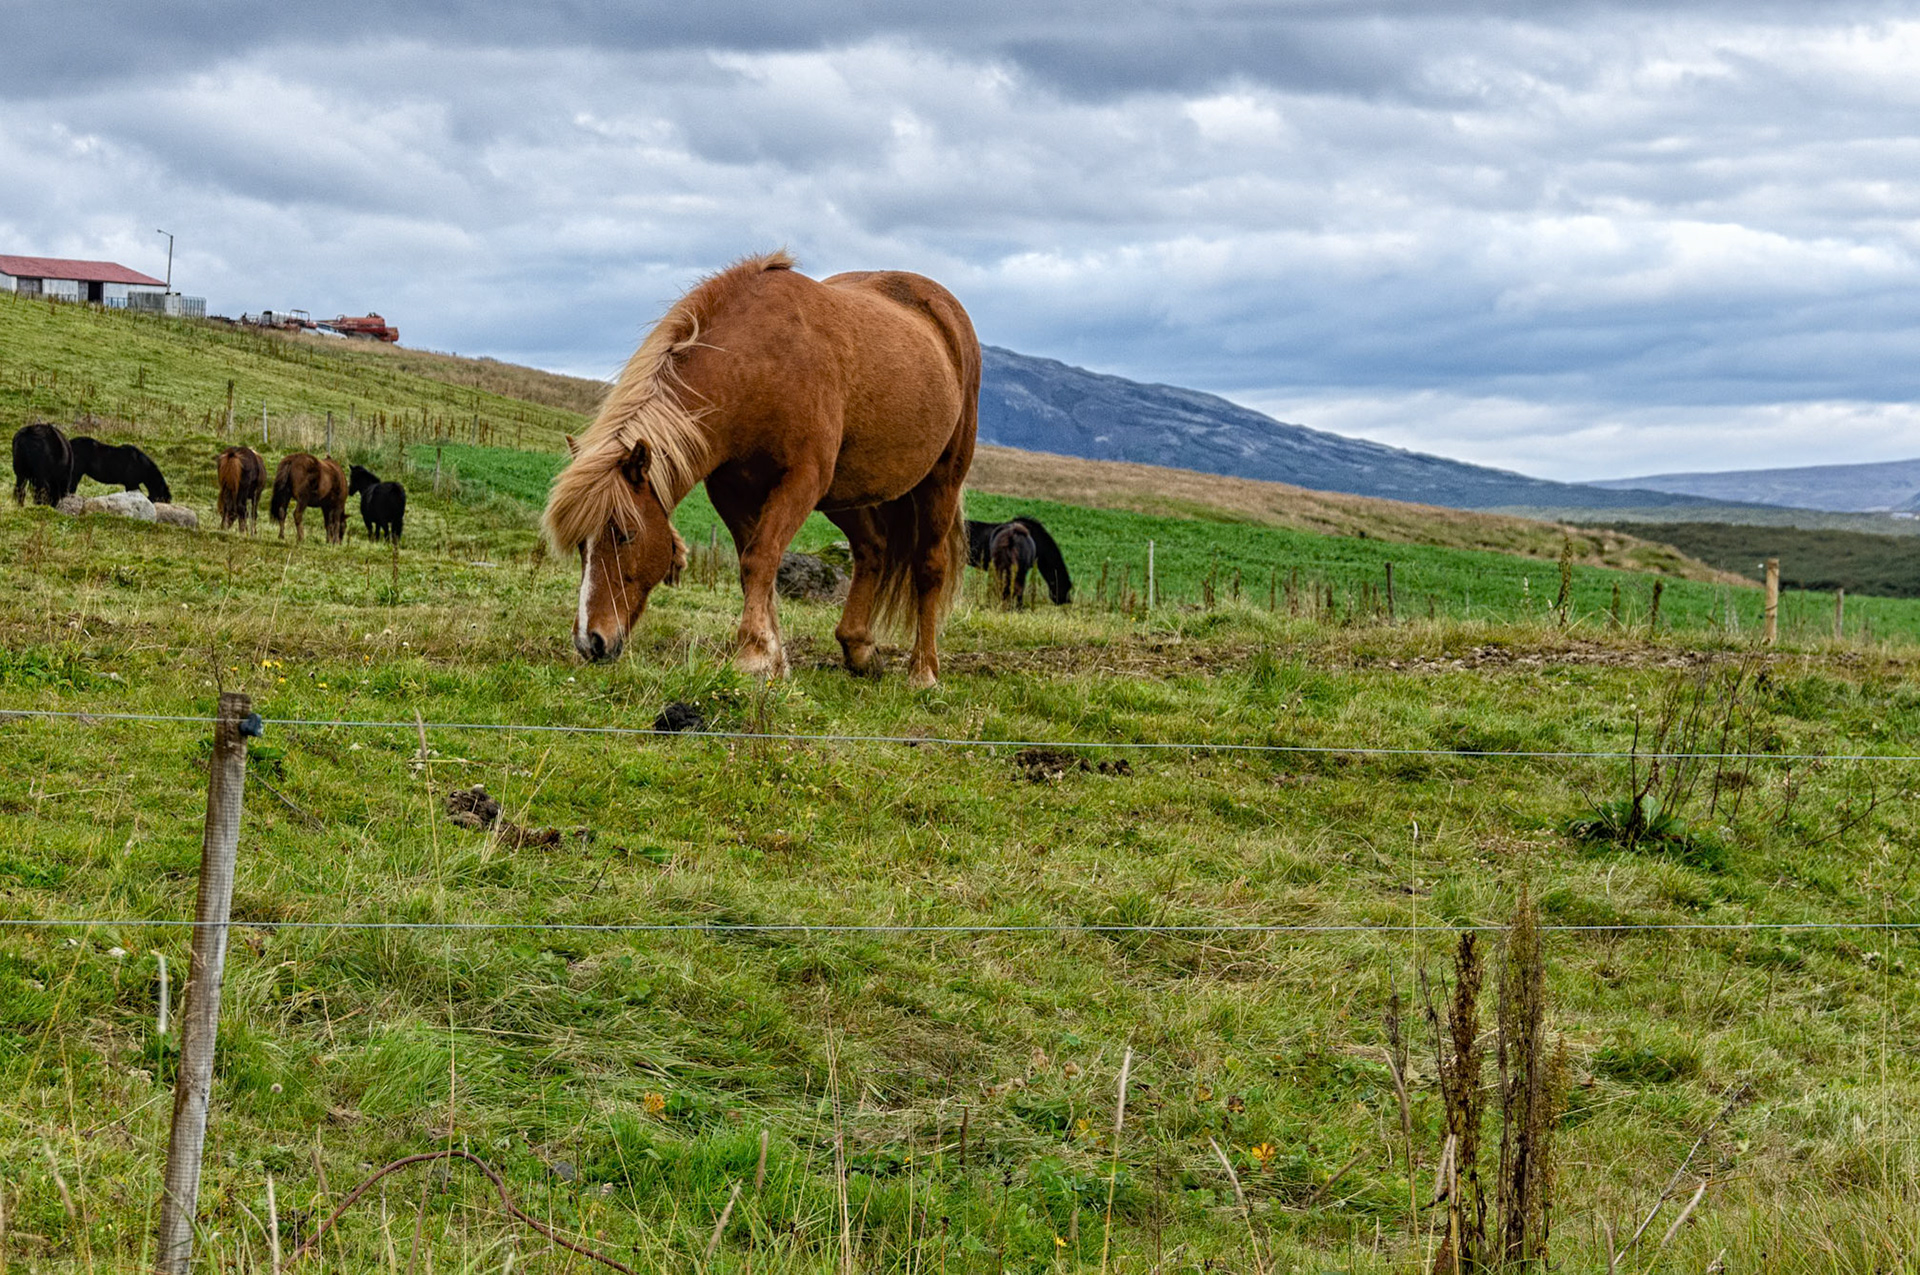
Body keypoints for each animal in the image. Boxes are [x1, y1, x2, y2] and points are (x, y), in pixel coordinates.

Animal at [542, 251, 979, 689]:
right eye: (582, 545)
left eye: (626, 534)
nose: (590, 641)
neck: (756, 366)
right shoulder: (732, 491)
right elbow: (752, 565)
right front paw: (773, 658)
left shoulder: (801, 481)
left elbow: (761, 558)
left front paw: (752, 656)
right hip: (845, 494)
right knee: (871, 549)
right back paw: (859, 648)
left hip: (940, 482)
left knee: (929, 567)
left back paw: (923, 671)